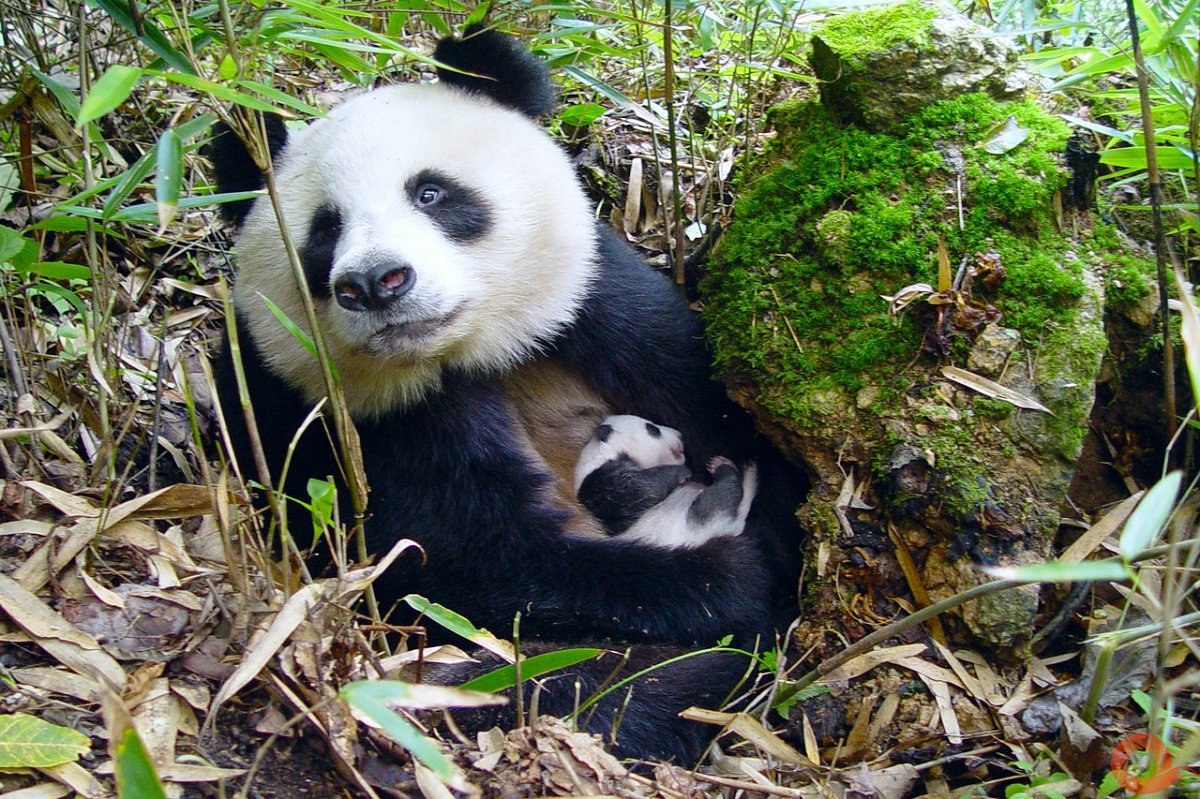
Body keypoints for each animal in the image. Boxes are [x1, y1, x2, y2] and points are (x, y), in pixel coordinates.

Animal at [210, 24, 801, 758]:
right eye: (324, 230)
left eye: (431, 194)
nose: (375, 282)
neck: (471, 351)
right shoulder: (365, 426)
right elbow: (487, 567)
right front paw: (725, 578)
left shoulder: (597, 312)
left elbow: (723, 410)